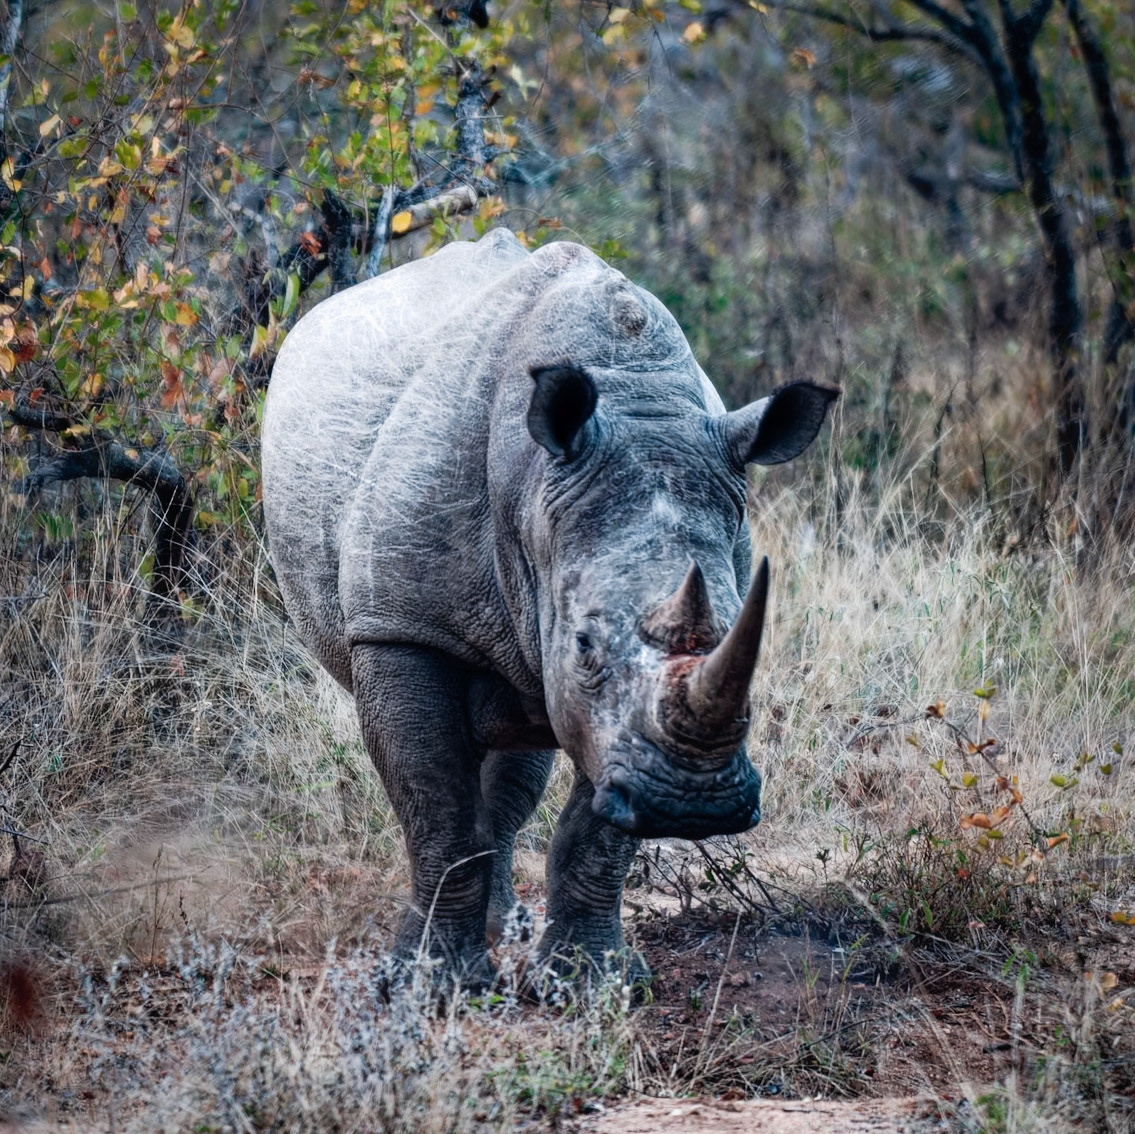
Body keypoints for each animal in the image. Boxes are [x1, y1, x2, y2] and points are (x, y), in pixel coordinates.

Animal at [261, 229, 837, 988]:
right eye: (586, 645)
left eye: (739, 632)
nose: (692, 804)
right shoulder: (400, 629)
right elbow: (436, 809)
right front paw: (426, 985)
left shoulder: (618, 720)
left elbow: (596, 828)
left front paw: (588, 984)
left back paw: (508, 929)